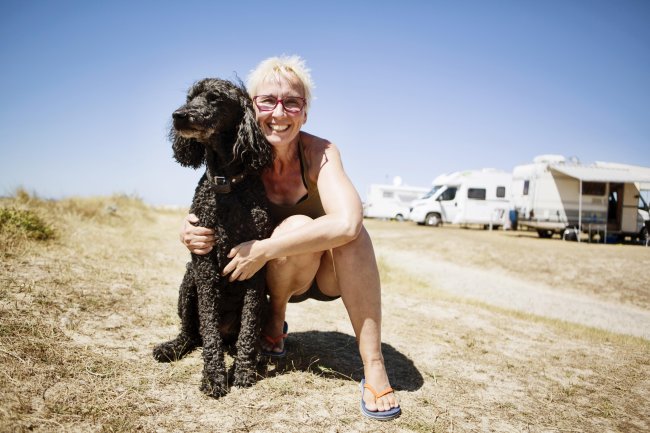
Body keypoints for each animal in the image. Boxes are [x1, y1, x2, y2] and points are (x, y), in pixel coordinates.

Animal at [153, 78, 272, 398]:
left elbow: (249, 327)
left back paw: (255, 357)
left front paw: (243, 371)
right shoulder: (204, 262)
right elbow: (208, 326)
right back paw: (172, 347)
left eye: (215, 98)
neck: (227, 185)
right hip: (188, 282)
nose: (178, 115)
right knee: (192, 333)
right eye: (190, 97)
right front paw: (214, 377)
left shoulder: (255, 266)